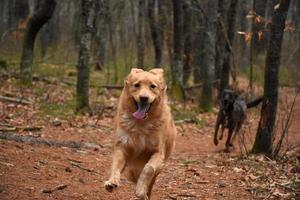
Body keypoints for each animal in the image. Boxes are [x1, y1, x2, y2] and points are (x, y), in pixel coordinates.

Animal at [105, 68, 177, 199]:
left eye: (152, 86)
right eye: (137, 85)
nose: (144, 98)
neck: (140, 124)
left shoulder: (158, 153)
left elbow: (148, 168)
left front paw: (140, 190)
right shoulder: (121, 147)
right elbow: (116, 166)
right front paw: (112, 182)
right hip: (131, 172)